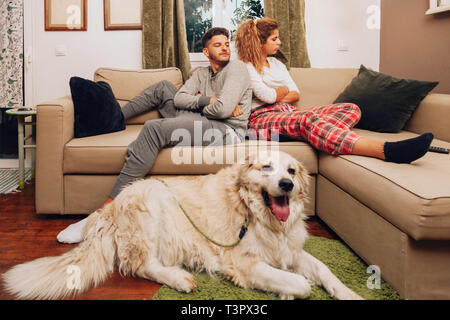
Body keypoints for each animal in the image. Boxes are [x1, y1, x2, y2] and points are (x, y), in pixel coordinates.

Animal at [1, 151, 362, 300]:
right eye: (266, 168)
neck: (259, 215)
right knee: (141, 266)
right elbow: (300, 284)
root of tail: (112, 209)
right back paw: (180, 279)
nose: (286, 184)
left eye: (291, 170)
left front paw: (349, 294)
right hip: (152, 206)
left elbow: (325, 271)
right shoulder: (246, 264)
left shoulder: (291, 250)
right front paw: (292, 288)